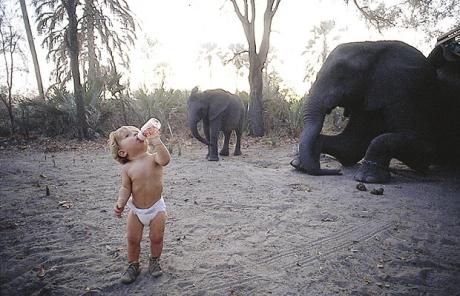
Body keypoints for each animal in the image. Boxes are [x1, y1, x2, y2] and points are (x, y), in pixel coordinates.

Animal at [292, 33, 460, 184]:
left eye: (341, 76)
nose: (336, 171)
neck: (374, 47)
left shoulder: (406, 91)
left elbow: (424, 148)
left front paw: (368, 179)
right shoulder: (369, 97)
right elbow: (350, 145)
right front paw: (299, 164)